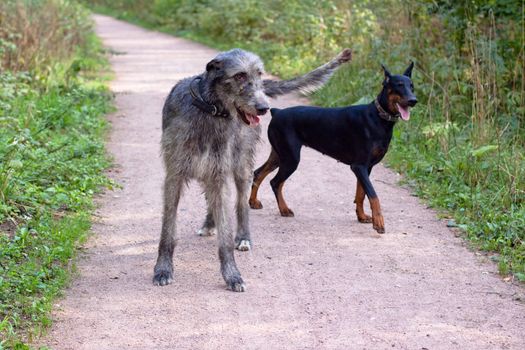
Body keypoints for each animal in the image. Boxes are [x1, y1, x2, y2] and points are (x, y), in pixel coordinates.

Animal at [154, 47, 354, 292]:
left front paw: (232, 274)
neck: (209, 109)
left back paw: (243, 237)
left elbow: (225, 235)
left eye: (259, 74)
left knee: (241, 204)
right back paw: (209, 223)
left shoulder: (219, 172)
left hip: (241, 167)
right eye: (239, 75)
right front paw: (163, 269)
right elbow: (168, 229)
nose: (263, 108)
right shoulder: (174, 176)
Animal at [250, 61, 418, 234]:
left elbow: (361, 194)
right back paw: (284, 209)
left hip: (279, 154)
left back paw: (253, 202)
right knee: (275, 182)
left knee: (258, 173)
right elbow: (373, 195)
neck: (378, 117)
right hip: (291, 158)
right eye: (398, 85)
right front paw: (378, 223)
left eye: (412, 86)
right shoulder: (359, 166)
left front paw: (362, 216)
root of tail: (277, 112)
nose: (414, 100)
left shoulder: (367, 167)